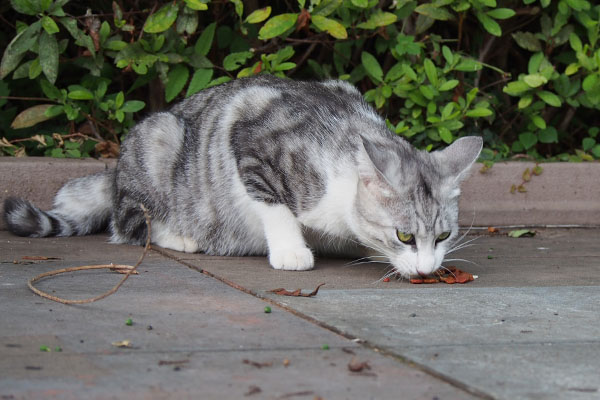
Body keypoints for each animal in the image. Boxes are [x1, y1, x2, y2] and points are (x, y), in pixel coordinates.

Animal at [3, 75, 482, 276]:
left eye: (443, 236)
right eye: (404, 236)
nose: (427, 269)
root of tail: (113, 172)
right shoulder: (251, 141)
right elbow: (275, 206)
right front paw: (292, 251)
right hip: (158, 139)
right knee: (129, 224)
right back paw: (182, 237)